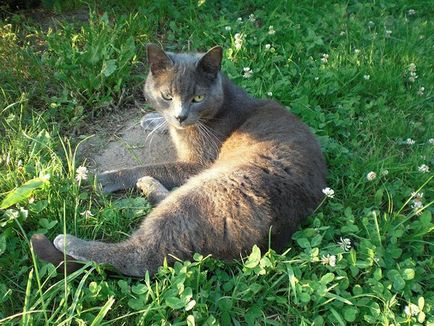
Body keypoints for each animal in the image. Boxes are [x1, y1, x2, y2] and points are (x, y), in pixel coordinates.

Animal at [32, 44, 328, 278]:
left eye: (198, 97)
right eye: (167, 96)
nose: (180, 116)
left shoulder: (198, 164)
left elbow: (152, 165)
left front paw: (101, 178)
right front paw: (154, 120)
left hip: (209, 187)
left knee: (139, 256)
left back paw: (68, 241)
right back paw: (148, 185)